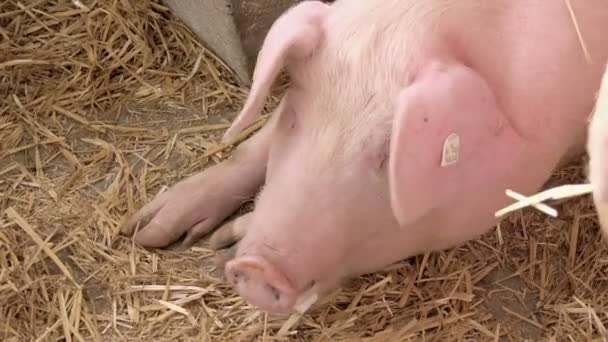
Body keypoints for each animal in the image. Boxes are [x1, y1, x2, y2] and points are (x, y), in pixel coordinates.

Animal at [121, 0, 608, 314]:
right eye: (295, 115)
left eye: (388, 156)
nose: (257, 267)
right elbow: (251, 146)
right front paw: (146, 231)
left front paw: (226, 239)